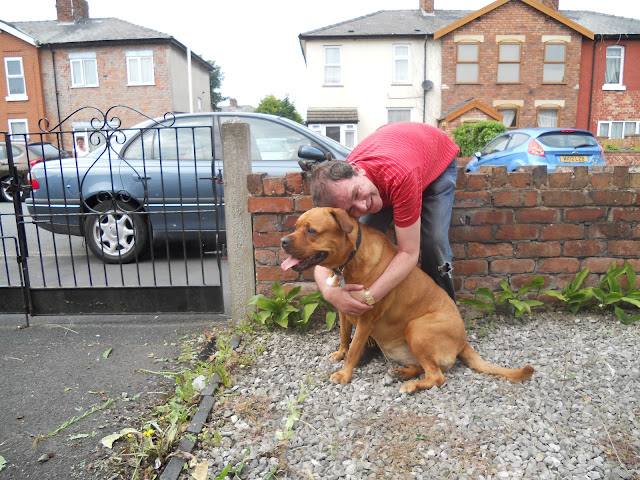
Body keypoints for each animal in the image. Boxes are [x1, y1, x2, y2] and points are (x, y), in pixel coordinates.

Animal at [282, 207, 536, 394]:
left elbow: (354, 348)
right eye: (296, 227)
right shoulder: (344, 309)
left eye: (311, 230)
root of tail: (463, 341)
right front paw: (340, 352)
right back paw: (402, 372)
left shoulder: (366, 319)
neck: (350, 260)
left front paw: (345, 374)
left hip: (417, 328)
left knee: (437, 376)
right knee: (424, 367)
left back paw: (412, 385)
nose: (283, 241)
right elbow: (345, 336)